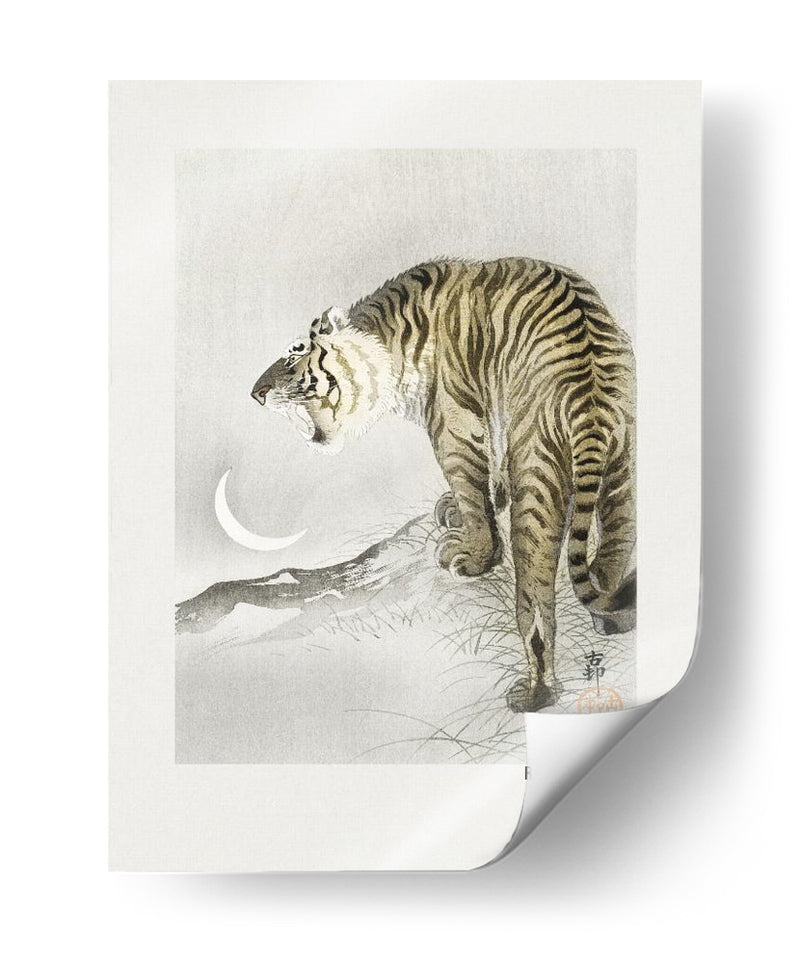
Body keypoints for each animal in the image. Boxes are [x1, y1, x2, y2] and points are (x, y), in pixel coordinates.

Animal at [251, 258, 636, 712]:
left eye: (294, 354)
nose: (256, 393)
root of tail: (590, 394)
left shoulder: (453, 425)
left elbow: (471, 488)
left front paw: (473, 555)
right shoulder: (492, 413)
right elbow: (489, 476)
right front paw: (467, 505)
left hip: (538, 474)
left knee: (537, 603)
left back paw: (535, 693)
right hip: (624, 470)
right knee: (614, 552)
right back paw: (613, 619)